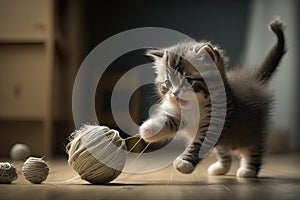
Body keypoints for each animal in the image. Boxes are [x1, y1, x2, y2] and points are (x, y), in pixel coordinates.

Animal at [139, 16, 286, 177]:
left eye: (188, 80)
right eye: (167, 83)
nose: (175, 93)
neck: (195, 107)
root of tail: (254, 80)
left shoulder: (215, 124)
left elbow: (199, 145)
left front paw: (184, 162)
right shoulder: (180, 115)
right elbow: (168, 120)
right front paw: (148, 129)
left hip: (254, 130)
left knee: (255, 149)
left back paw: (248, 170)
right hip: (224, 142)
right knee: (224, 152)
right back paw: (220, 168)